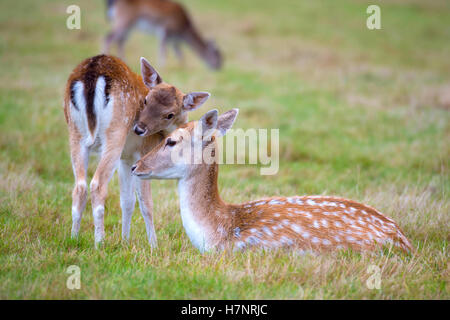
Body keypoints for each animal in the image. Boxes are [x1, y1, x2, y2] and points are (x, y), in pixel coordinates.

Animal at [63, 53, 211, 246]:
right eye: (146, 100)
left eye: (169, 114)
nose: (139, 129)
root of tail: (92, 73)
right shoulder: (142, 152)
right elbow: (146, 203)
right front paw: (154, 245)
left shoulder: (126, 160)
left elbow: (127, 200)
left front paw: (124, 241)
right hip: (115, 133)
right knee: (97, 184)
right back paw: (99, 242)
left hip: (76, 133)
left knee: (79, 187)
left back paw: (73, 238)